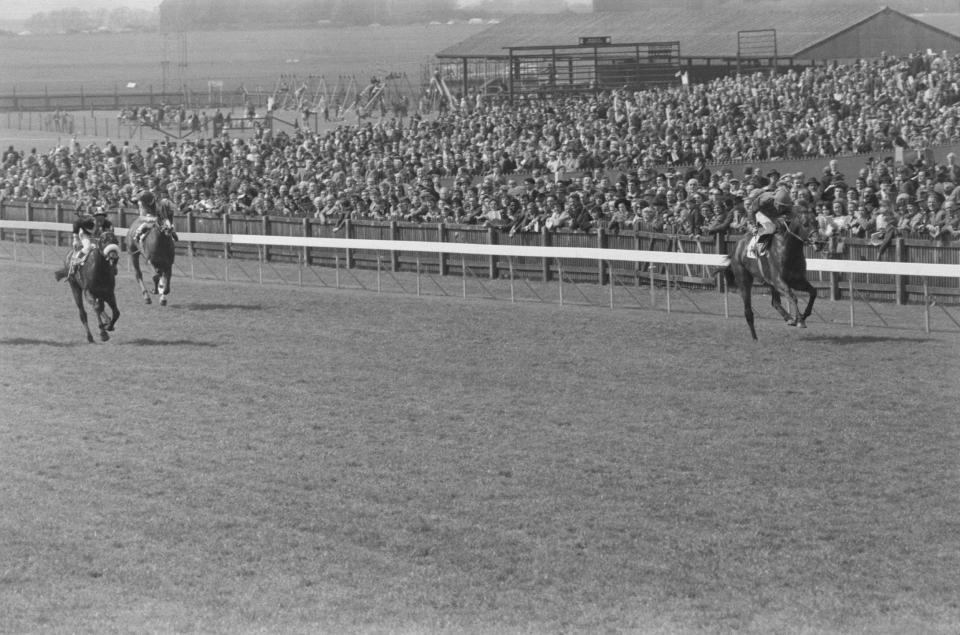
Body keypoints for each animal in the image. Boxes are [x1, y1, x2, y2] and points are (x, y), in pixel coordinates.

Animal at [724, 210, 820, 340]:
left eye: (816, 223)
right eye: (805, 224)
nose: (819, 242)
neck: (788, 249)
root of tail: (736, 247)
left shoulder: (796, 280)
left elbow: (813, 292)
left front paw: (804, 315)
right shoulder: (779, 280)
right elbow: (793, 296)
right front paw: (800, 320)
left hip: (770, 283)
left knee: (775, 302)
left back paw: (789, 319)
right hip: (744, 278)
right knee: (748, 310)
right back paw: (755, 338)